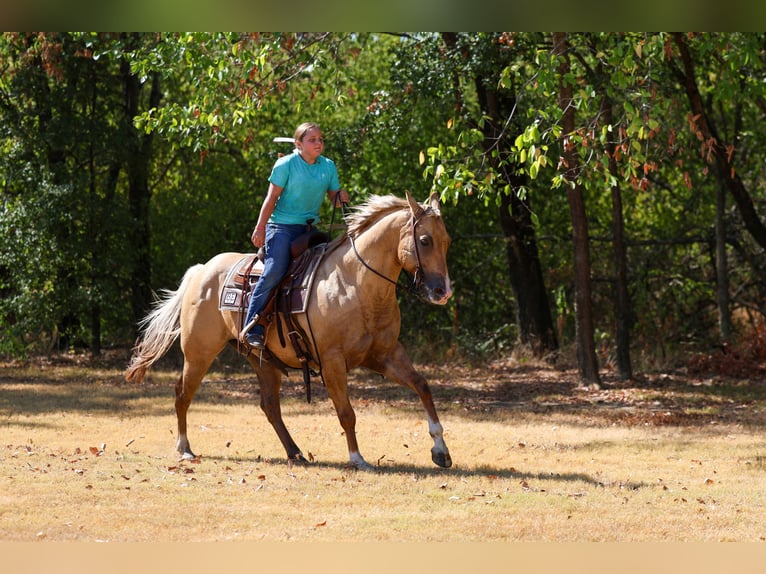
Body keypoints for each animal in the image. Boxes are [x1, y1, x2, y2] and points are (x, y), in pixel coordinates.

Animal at [125, 191, 453, 470]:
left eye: (446, 240)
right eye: (425, 240)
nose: (443, 291)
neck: (355, 283)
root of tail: (202, 270)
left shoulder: (384, 355)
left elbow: (422, 386)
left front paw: (441, 450)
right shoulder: (333, 361)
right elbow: (346, 413)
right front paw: (357, 458)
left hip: (263, 361)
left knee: (270, 406)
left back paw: (295, 452)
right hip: (199, 353)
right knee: (182, 393)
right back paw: (184, 448)